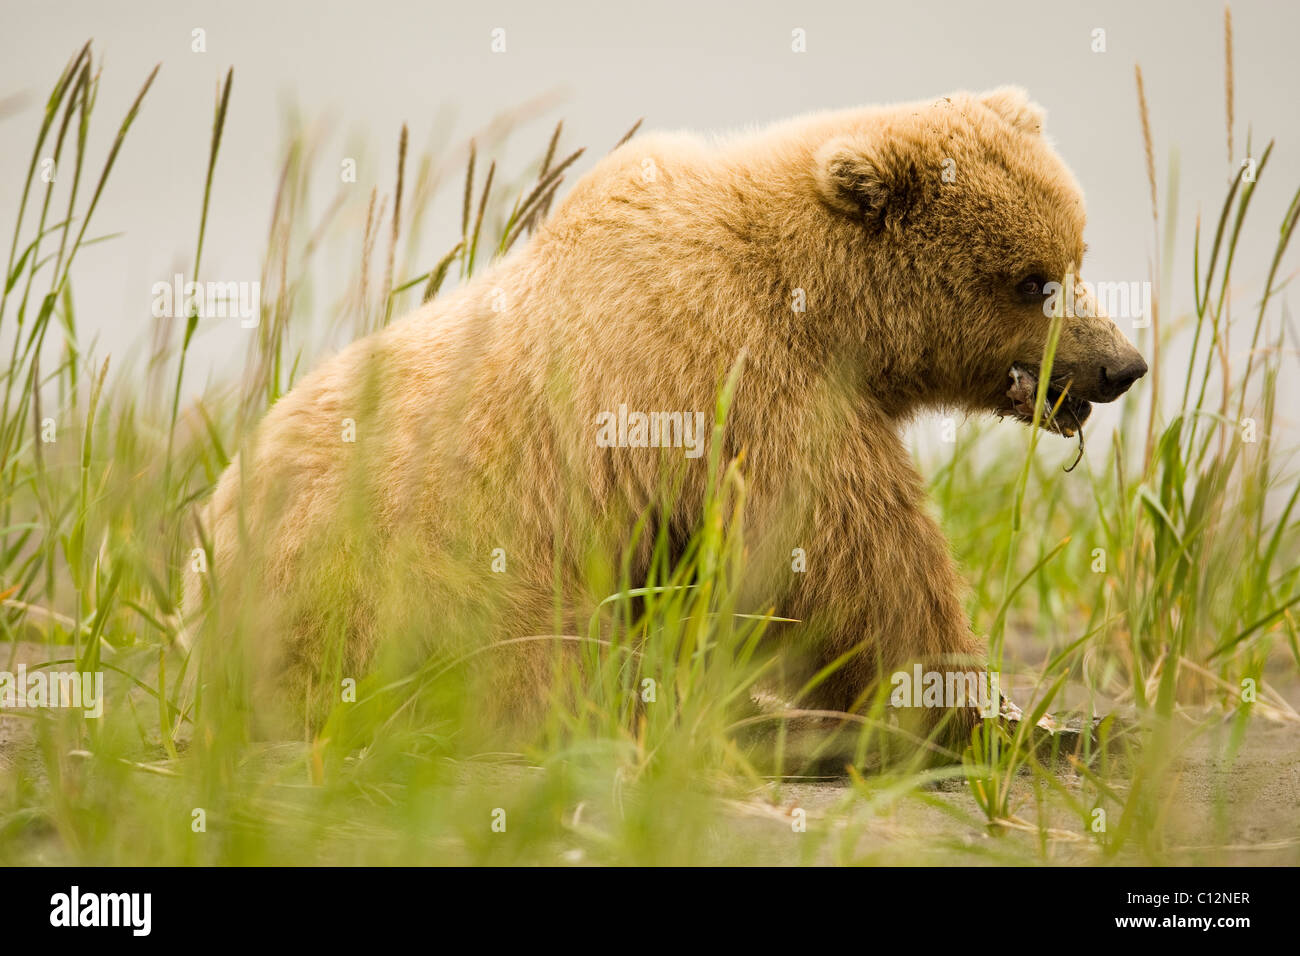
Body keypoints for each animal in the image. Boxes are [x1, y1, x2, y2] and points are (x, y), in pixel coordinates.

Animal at [185, 85, 1149, 743]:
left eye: (1076, 251)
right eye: (1030, 278)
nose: (1121, 366)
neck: (818, 304)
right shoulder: (738, 383)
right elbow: (856, 567)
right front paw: (997, 717)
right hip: (411, 583)